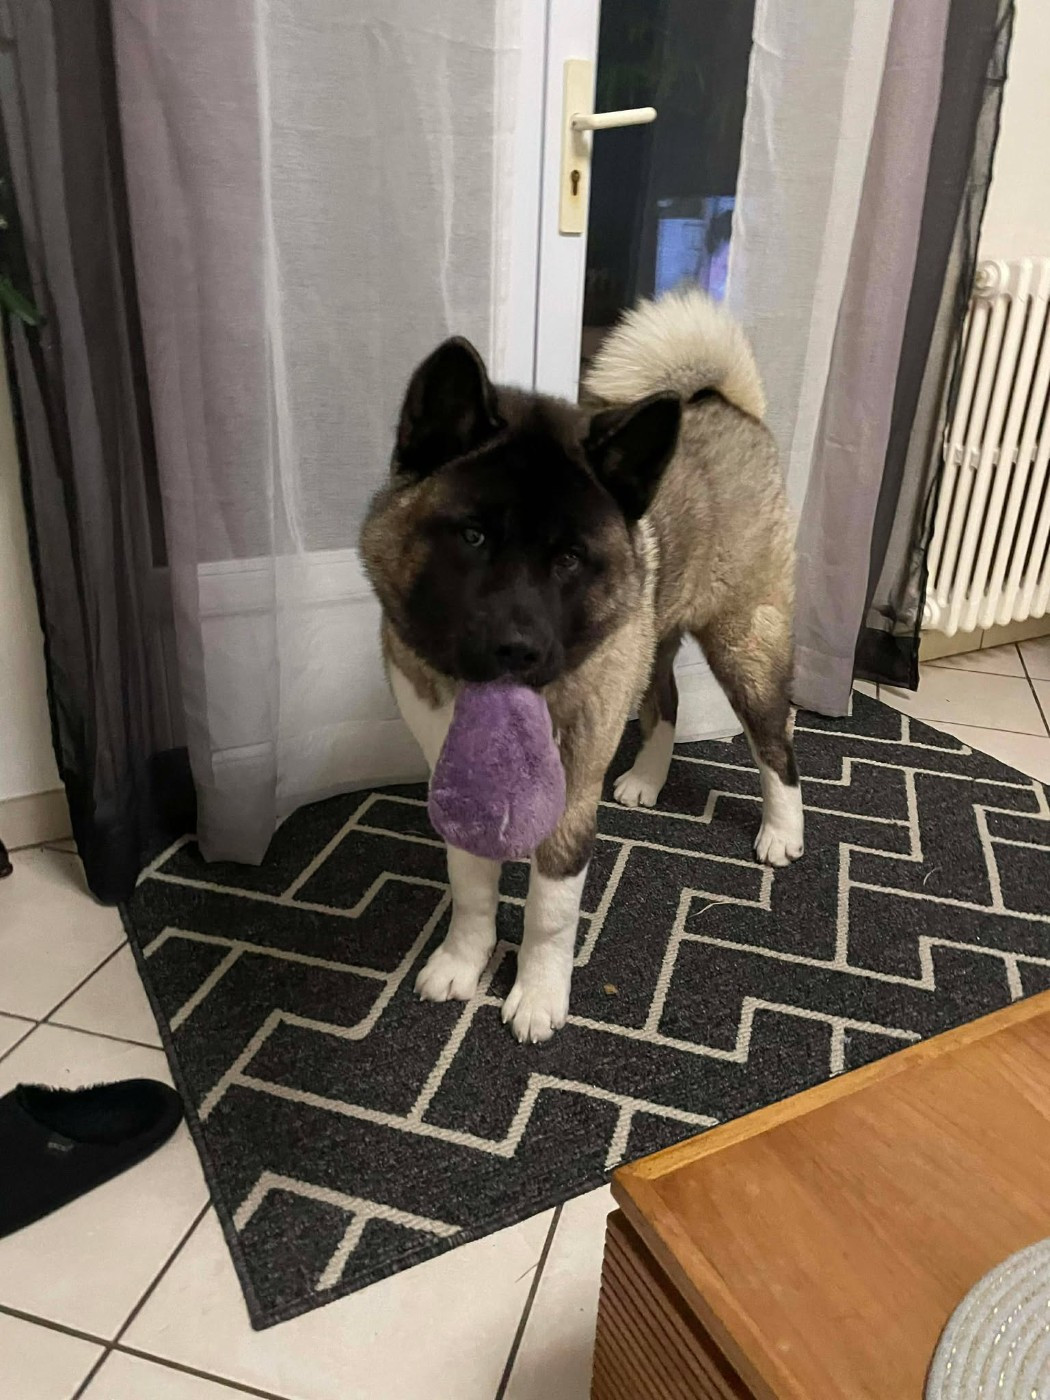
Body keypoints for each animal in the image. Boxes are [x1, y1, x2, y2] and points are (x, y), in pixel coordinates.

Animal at [360, 288, 802, 1044]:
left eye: (569, 558)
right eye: (473, 536)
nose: (519, 649)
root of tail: (729, 406)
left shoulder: (569, 797)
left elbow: (550, 911)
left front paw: (538, 995)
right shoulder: (460, 780)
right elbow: (470, 890)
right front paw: (464, 962)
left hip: (745, 646)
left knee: (776, 743)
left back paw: (782, 831)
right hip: (654, 641)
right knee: (665, 703)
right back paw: (648, 780)